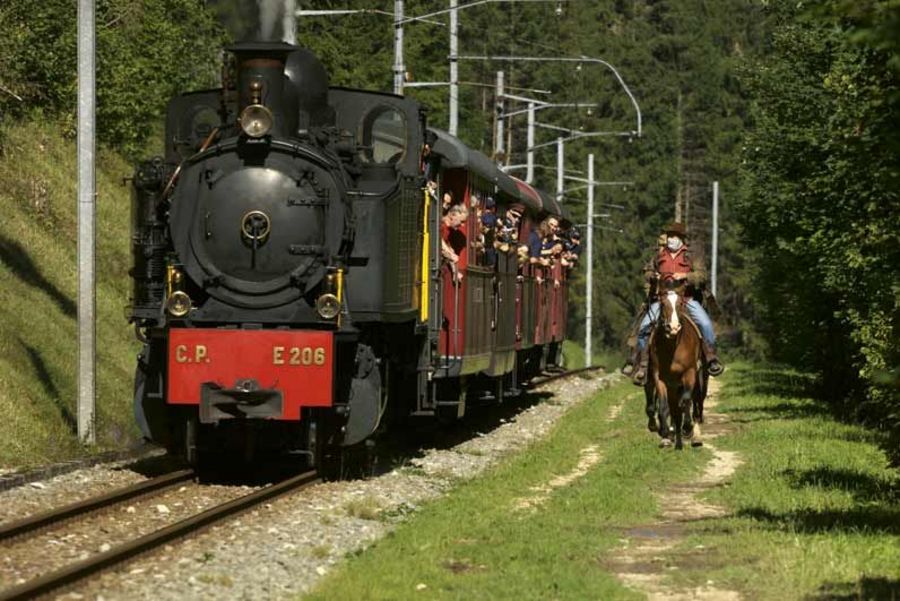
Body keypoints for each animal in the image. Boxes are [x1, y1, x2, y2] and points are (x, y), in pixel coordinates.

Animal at [652, 284, 708, 448]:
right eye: (663, 304)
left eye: (680, 304)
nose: (673, 327)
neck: (673, 347)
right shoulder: (659, 378)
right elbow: (664, 407)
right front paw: (665, 434)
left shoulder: (689, 373)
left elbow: (686, 401)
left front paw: (687, 428)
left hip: (698, 381)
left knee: (695, 403)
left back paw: (693, 434)